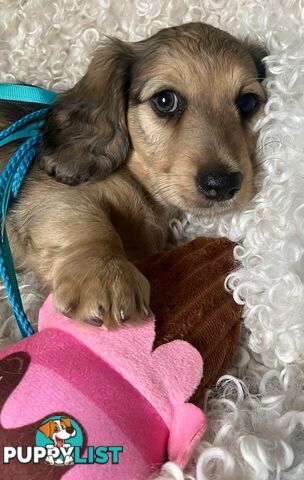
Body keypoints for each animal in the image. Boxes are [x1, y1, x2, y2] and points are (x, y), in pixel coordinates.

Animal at [0, 22, 266, 330]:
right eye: (165, 100)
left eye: (247, 102)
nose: (221, 185)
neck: (140, 184)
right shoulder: (47, 193)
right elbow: (85, 220)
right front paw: (104, 273)